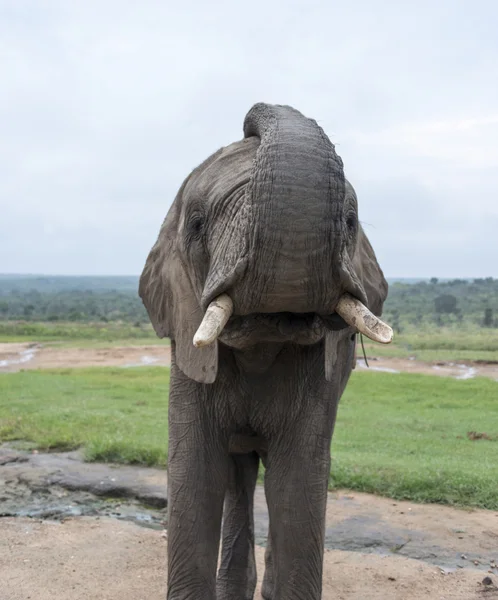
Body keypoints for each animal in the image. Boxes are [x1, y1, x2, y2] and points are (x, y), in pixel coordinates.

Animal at [138, 101, 392, 596]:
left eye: (350, 222)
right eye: (196, 224)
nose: (252, 116)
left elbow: (298, 481)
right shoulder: (189, 353)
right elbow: (195, 473)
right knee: (238, 474)